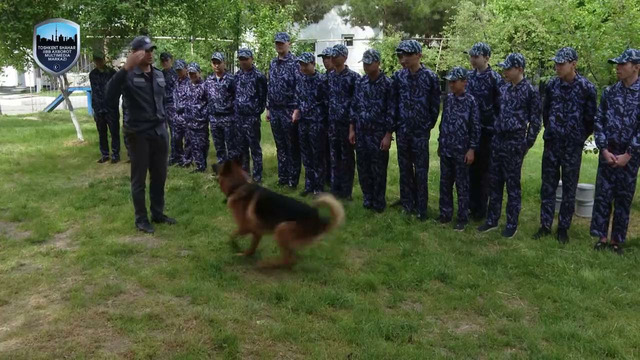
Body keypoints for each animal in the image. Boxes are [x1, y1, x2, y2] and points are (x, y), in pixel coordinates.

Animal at [215, 160, 344, 268]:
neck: (238, 185)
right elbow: (251, 247)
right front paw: (245, 253)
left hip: (281, 228)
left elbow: (231, 235)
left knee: (289, 260)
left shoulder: (245, 227)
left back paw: (266, 264)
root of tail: (319, 219)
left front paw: (234, 246)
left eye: (220, 164)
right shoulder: (257, 232)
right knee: (291, 257)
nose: (212, 165)